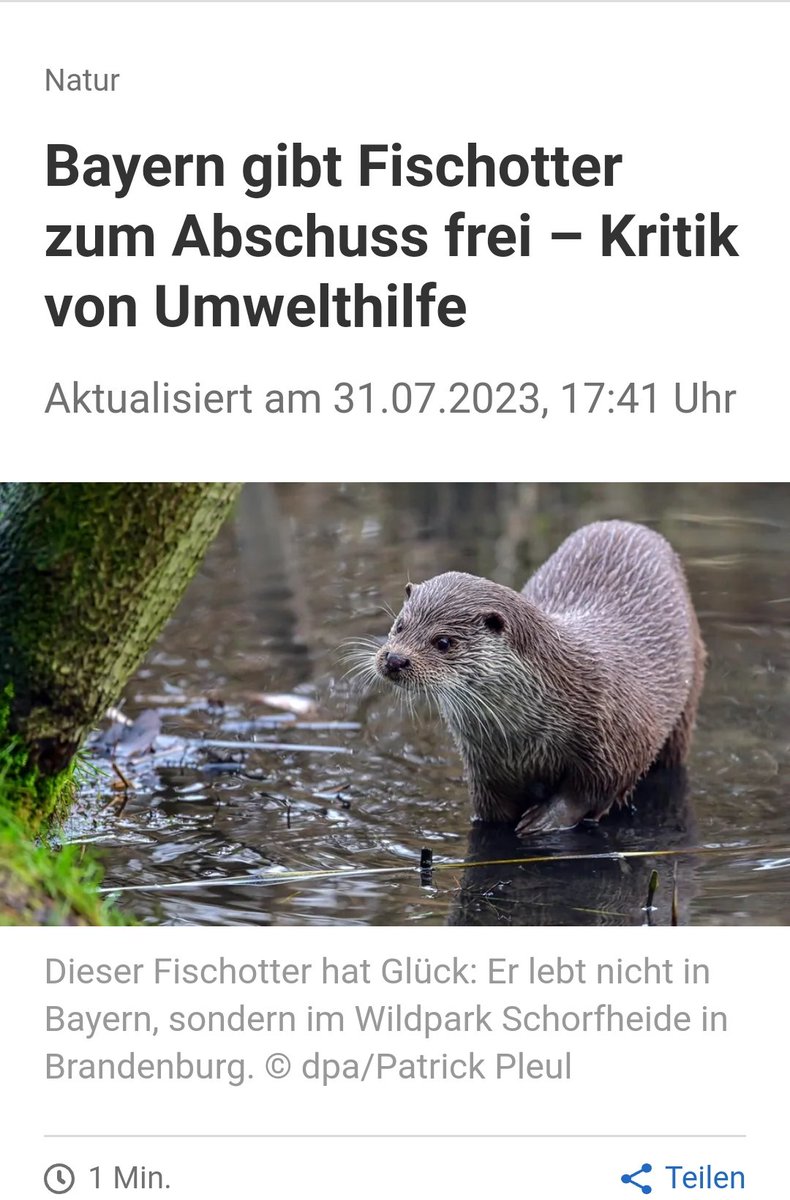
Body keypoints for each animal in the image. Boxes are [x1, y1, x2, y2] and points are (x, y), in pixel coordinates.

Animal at [374, 520, 705, 834]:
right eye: (400, 625)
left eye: (443, 642)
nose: (394, 659)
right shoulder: (483, 766)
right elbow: (490, 809)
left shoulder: (614, 740)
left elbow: (591, 791)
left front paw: (546, 819)